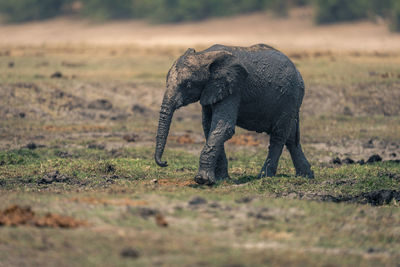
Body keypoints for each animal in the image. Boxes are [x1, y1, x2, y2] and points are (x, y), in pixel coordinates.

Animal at [155, 44, 314, 186]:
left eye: (188, 85)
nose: (165, 162)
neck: (204, 55)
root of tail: (298, 71)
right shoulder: (211, 90)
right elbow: (209, 127)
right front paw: (221, 179)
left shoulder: (233, 88)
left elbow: (223, 127)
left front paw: (202, 180)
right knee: (291, 138)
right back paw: (306, 176)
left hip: (290, 98)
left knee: (279, 135)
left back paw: (264, 177)